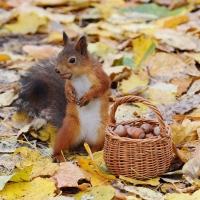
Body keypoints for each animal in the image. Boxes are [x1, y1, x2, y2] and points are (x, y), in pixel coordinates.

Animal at [16, 32, 111, 163]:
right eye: (59, 55)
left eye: (72, 60)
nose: (56, 70)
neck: (79, 75)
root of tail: (84, 140)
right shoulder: (70, 82)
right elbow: (67, 87)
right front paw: (69, 95)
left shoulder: (100, 76)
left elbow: (102, 87)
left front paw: (87, 96)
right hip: (69, 128)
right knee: (61, 146)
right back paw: (59, 156)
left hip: (101, 133)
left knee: (96, 146)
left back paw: (93, 154)